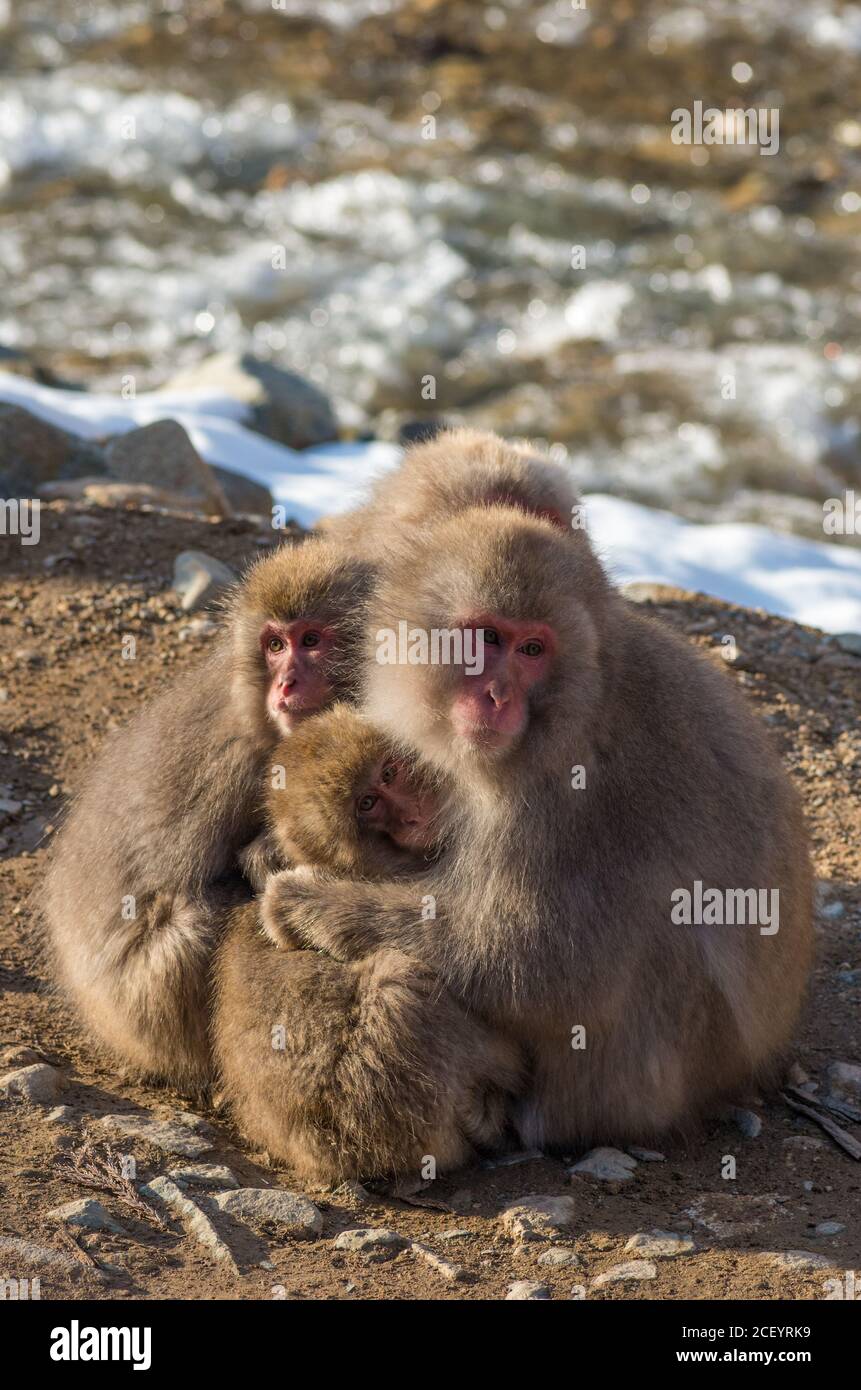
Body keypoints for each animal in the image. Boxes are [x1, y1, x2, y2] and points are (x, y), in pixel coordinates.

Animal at [43, 536, 372, 1089]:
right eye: (275, 646)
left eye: (310, 640)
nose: (285, 685)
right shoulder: (241, 763)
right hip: (148, 1004)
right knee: (197, 924)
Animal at [262, 505, 817, 1156]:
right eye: (486, 639)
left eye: (532, 649)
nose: (497, 696)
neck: (583, 702)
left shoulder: (562, 799)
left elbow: (543, 965)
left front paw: (303, 901)